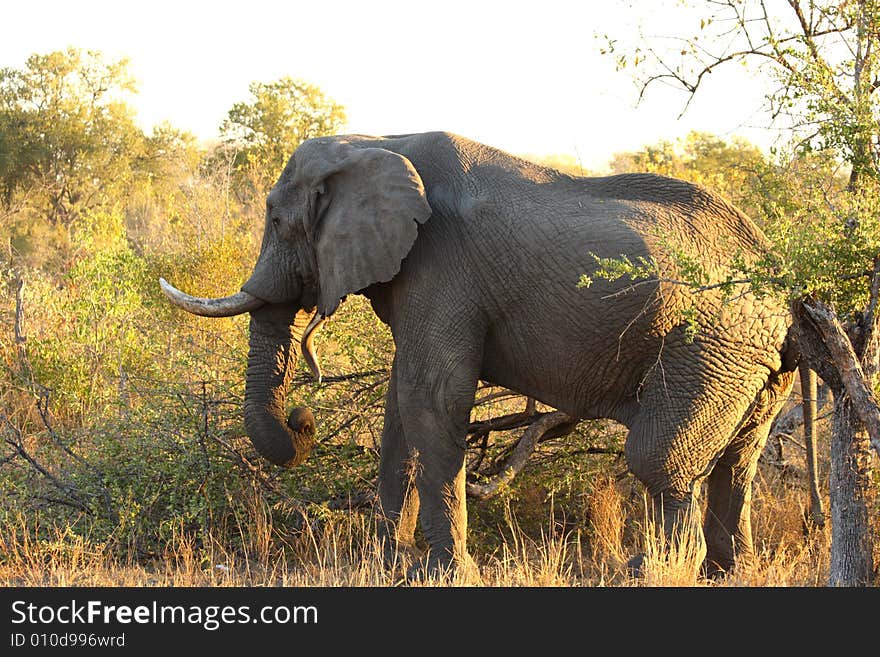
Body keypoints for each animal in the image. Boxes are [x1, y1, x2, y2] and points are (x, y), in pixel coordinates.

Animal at [162, 131, 800, 576]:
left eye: (275, 219)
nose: (302, 417)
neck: (374, 139)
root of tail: (781, 278)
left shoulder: (441, 266)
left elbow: (432, 397)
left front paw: (446, 573)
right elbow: (403, 406)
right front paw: (388, 567)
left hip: (709, 342)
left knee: (660, 459)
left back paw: (652, 572)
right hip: (750, 363)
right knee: (737, 463)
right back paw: (728, 574)